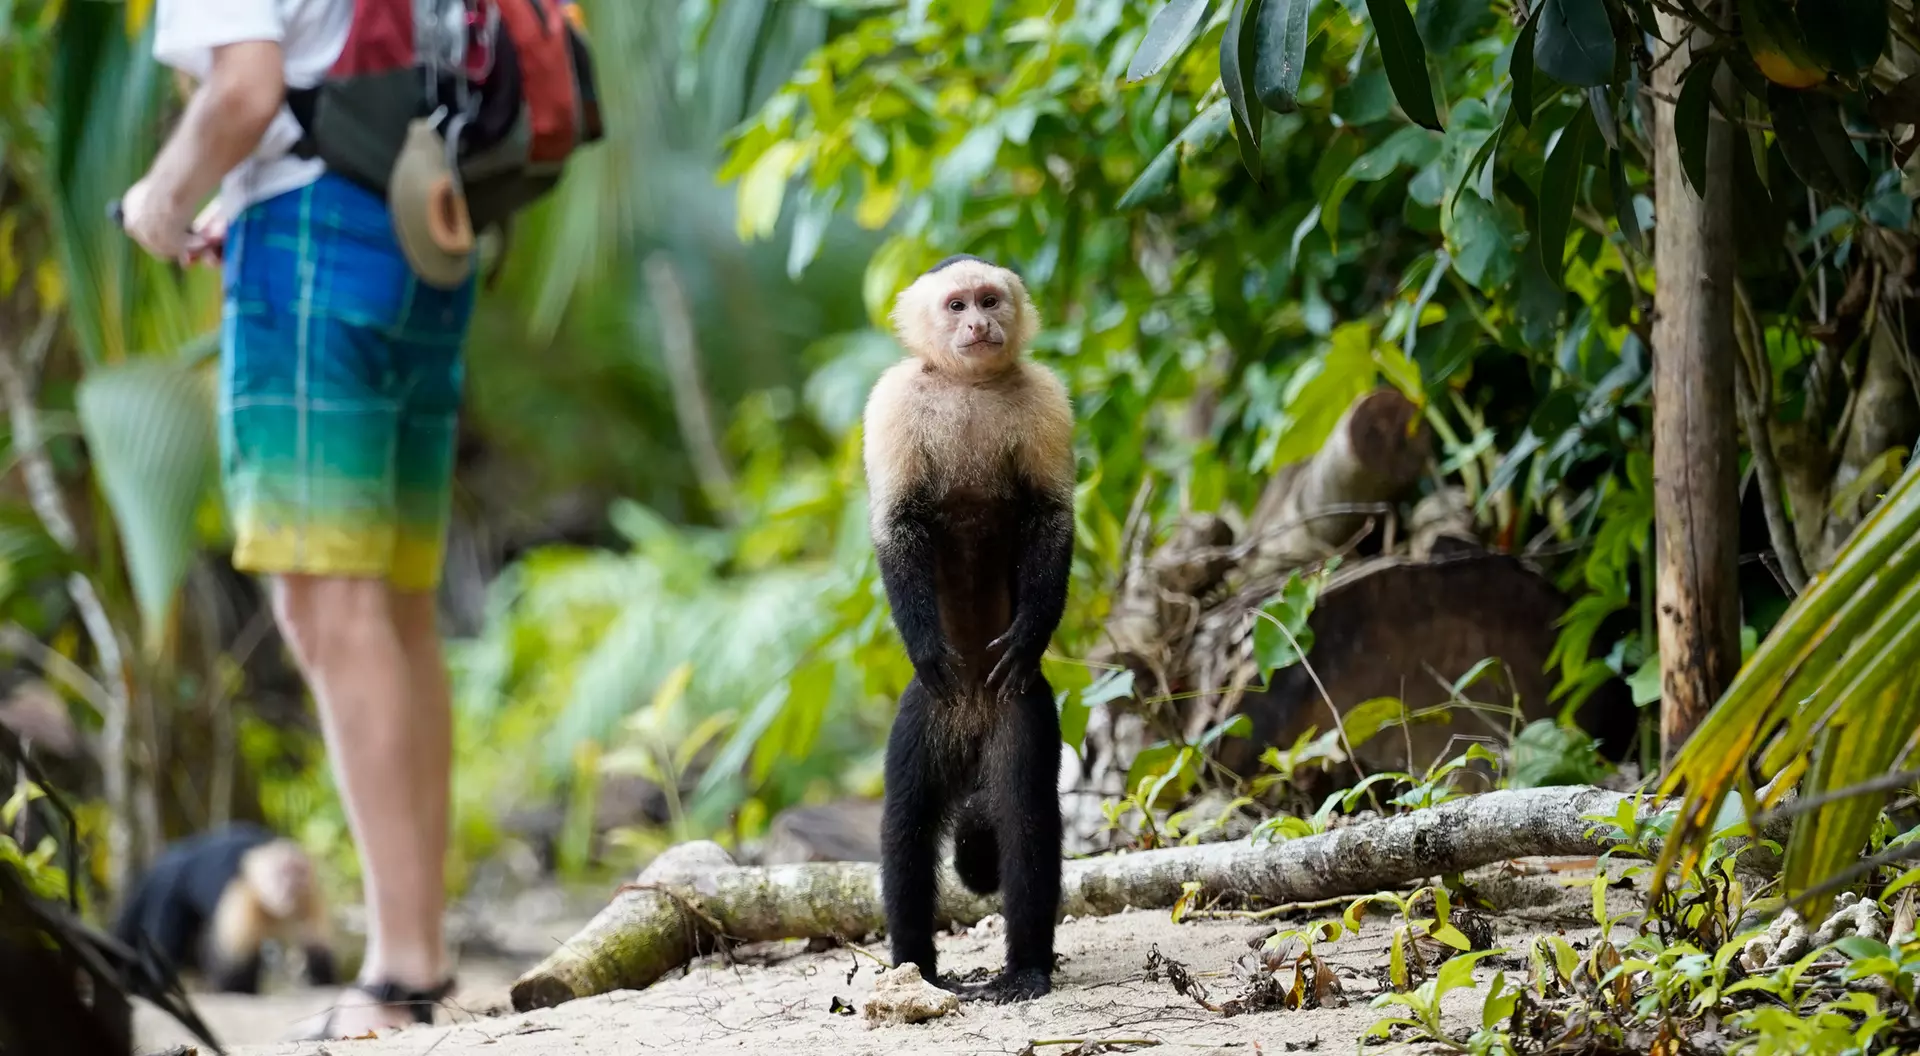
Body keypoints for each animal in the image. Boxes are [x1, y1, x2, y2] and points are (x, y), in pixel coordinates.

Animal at [111, 822, 336, 994]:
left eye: (299, 873)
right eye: (283, 873)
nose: (291, 887)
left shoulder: (310, 899)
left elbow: (319, 953)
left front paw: (323, 983)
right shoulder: (243, 900)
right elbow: (234, 970)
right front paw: (240, 991)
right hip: (168, 886)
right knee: (166, 942)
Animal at [862, 253, 1076, 1004]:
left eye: (989, 300)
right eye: (957, 306)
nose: (980, 325)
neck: (969, 387)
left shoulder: (1047, 397)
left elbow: (1051, 520)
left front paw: (1026, 637)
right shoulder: (892, 400)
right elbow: (896, 523)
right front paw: (927, 647)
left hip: (1023, 713)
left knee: (1025, 816)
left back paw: (1026, 967)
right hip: (927, 716)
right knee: (907, 822)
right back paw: (916, 967)